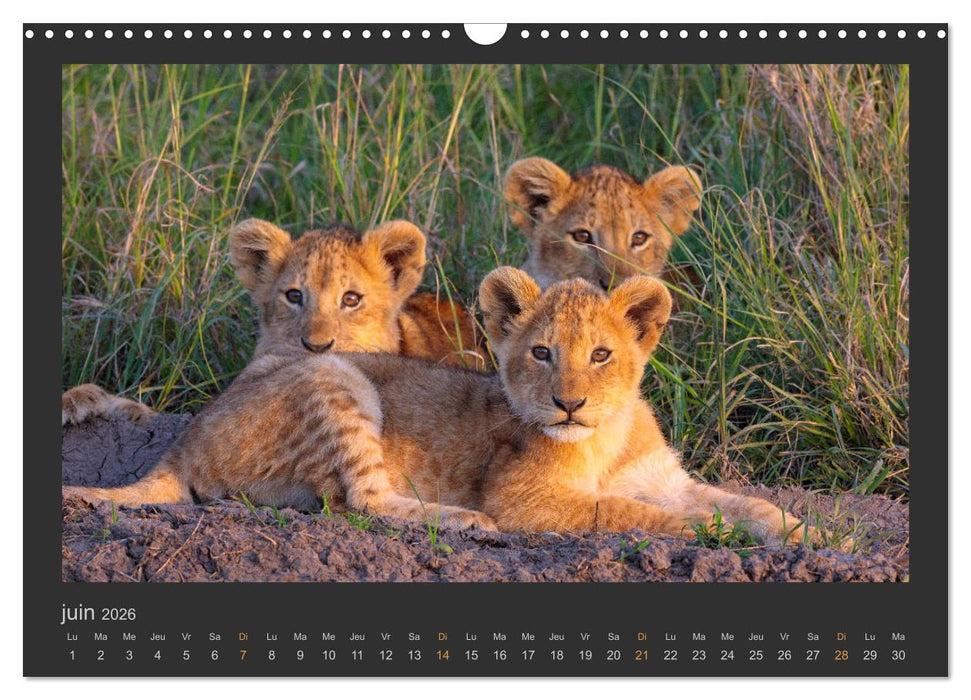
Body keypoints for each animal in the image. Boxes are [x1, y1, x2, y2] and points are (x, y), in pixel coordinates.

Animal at [64, 267, 814, 546]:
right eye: (541, 353)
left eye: (601, 355)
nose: (569, 404)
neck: (604, 435)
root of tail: (179, 445)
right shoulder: (526, 499)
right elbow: (626, 513)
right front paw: (700, 535)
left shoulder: (663, 478)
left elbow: (742, 502)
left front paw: (807, 534)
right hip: (333, 375)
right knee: (362, 503)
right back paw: (466, 521)